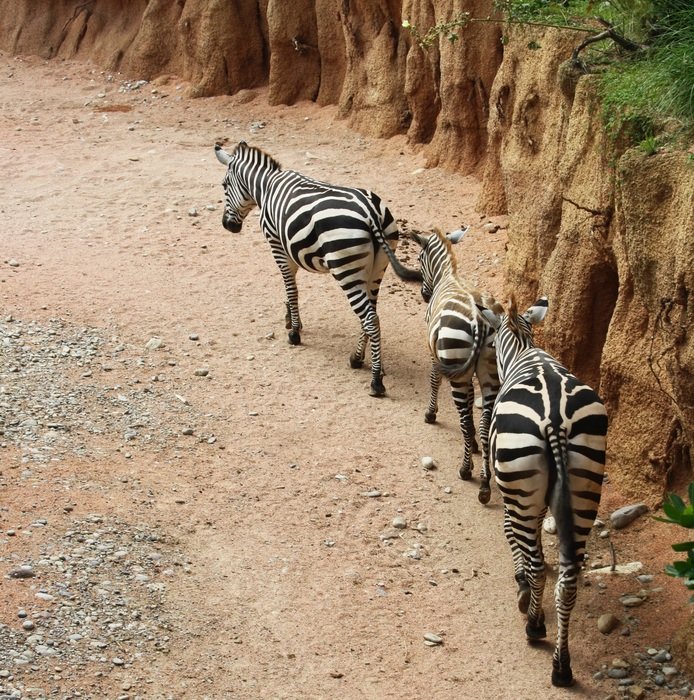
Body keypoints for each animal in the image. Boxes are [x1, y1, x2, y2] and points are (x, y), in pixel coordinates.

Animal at [213, 141, 418, 400]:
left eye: (224, 185)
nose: (227, 226)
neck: (267, 186)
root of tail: (371, 211)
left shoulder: (277, 245)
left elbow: (291, 289)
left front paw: (294, 333)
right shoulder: (291, 250)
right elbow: (290, 288)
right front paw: (291, 321)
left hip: (346, 269)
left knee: (370, 319)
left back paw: (376, 382)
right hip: (376, 269)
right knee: (372, 315)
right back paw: (357, 359)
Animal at [410, 230, 502, 504]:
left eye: (419, 258)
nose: (424, 295)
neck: (447, 275)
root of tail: (481, 320)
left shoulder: (436, 354)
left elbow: (433, 380)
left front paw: (430, 413)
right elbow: (473, 402)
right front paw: (473, 442)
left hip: (456, 366)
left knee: (462, 414)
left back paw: (465, 470)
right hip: (490, 373)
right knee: (485, 424)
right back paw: (484, 483)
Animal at [478, 292, 608, 688]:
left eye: (490, 343)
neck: (523, 347)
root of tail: (555, 418)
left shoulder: (513, 495)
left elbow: (515, 536)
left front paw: (521, 586)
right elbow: (535, 533)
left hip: (522, 482)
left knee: (536, 565)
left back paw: (534, 626)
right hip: (586, 486)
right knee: (569, 581)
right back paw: (561, 667)